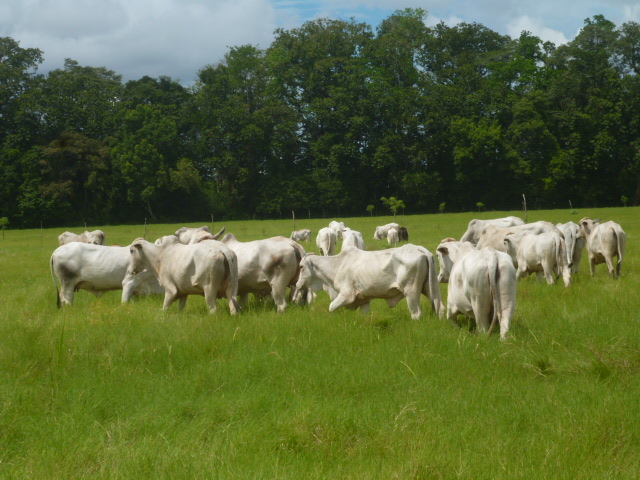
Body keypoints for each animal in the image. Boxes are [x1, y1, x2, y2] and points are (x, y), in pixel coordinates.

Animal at [296, 246, 442, 320]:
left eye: (301, 266)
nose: (297, 285)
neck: (338, 265)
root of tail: (421, 250)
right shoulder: (365, 300)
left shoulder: (346, 295)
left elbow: (331, 307)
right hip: (430, 288)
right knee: (440, 308)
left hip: (411, 292)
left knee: (416, 314)